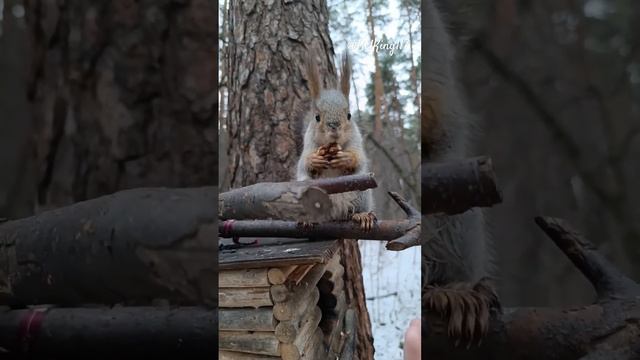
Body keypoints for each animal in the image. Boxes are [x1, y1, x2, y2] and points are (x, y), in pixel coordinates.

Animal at [296, 50, 376, 231]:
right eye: (317, 117)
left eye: (349, 115)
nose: (334, 126)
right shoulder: (308, 142)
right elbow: (303, 163)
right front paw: (314, 159)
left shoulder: (356, 139)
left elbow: (359, 159)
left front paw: (346, 158)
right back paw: (308, 218)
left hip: (361, 190)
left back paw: (361, 215)